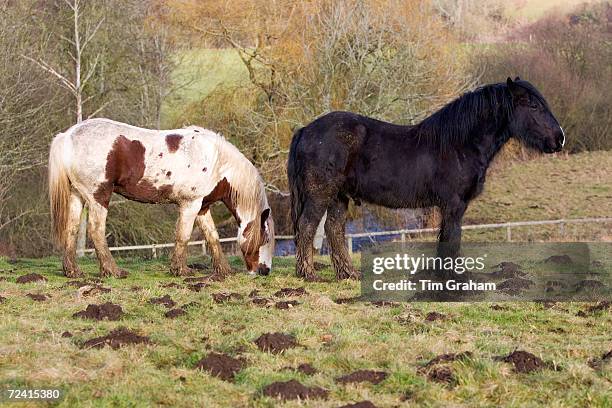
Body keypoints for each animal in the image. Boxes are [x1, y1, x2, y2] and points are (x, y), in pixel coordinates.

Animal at [49, 118, 274, 278]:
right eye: (264, 239)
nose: (264, 271)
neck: (216, 161)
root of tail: (68, 136)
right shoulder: (190, 204)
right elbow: (183, 236)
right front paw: (181, 270)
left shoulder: (202, 207)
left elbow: (212, 237)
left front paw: (224, 270)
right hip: (99, 196)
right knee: (96, 231)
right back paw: (113, 271)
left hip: (78, 195)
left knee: (71, 229)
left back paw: (73, 272)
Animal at [286, 77, 564, 280]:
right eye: (534, 105)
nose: (559, 138)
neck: (459, 144)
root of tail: (306, 130)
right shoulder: (453, 205)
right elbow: (451, 238)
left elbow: (446, 238)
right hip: (320, 194)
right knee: (307, 226)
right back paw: (308, 274)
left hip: (339, 196)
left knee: (333, 229)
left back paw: (349, 274)